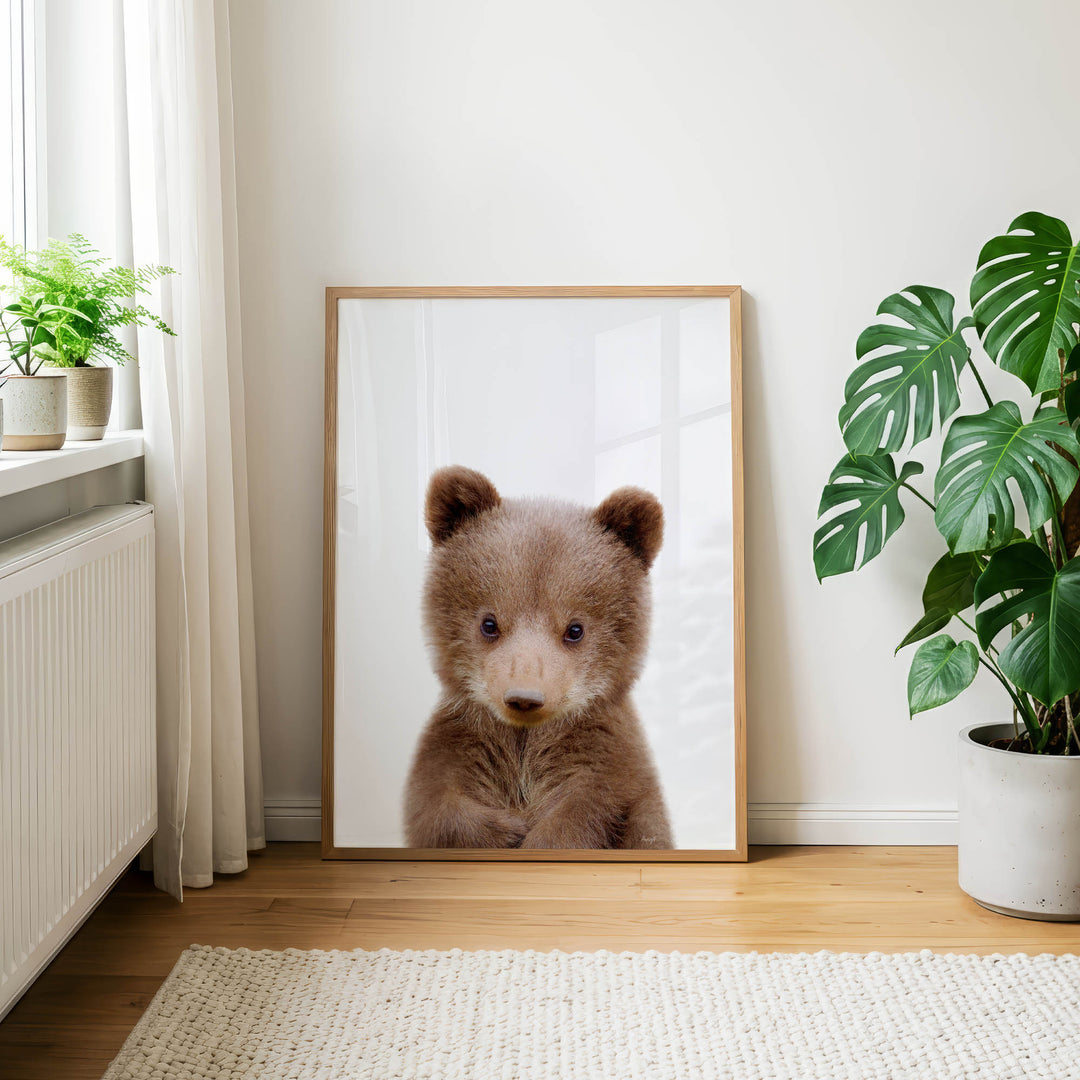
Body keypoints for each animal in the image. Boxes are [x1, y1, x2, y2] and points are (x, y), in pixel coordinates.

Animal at [403, 465, 673, 850]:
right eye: (489, 623)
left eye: (575, 629)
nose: (524, 697)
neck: (524, 740)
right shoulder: (461, 741)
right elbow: (437, 804)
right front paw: (508, 830)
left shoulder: (604, 760)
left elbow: (587, 812)